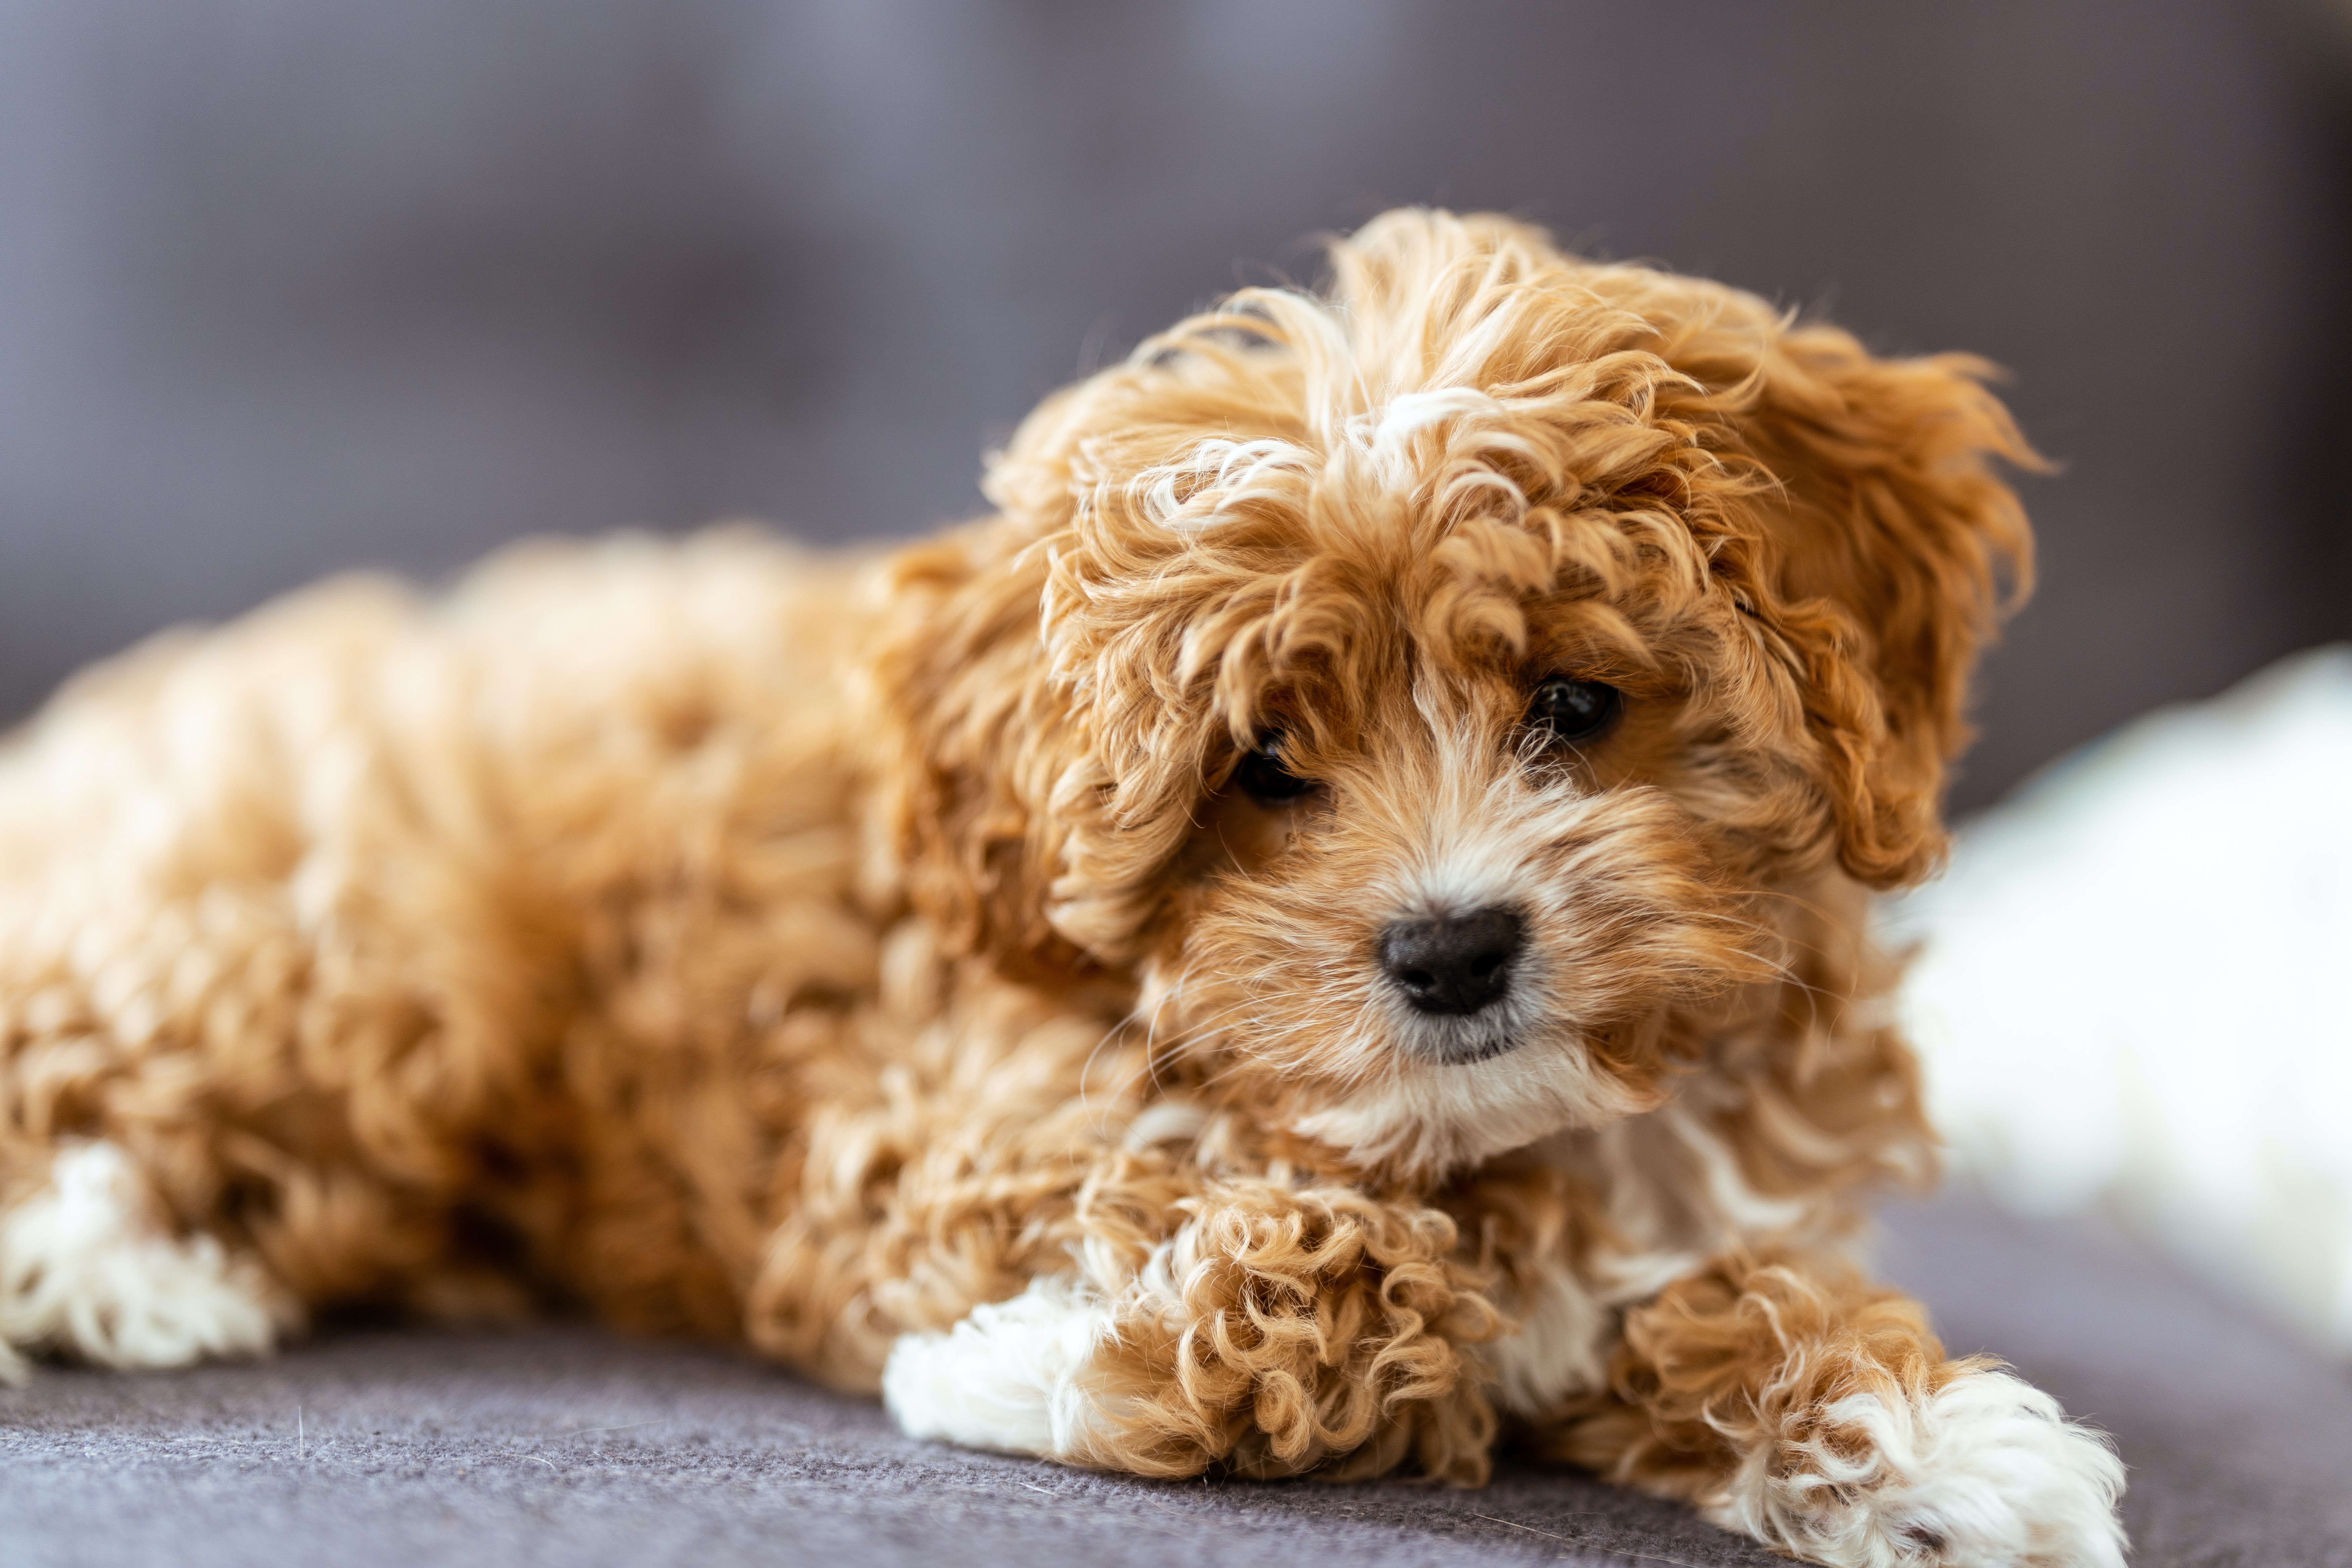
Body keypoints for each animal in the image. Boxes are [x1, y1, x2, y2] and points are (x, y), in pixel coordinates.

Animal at [0, 211, 2136, 1568]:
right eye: (1262, 765)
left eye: (1577, 701)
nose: (1451, 946)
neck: (1514, 1136)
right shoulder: (917, 1113)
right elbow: (1368, 1270)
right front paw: (1038, 1358)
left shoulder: (1699, 1198)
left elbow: (1698, 1289)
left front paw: (1926, 1444)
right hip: (337, 950)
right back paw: (110, 1264)